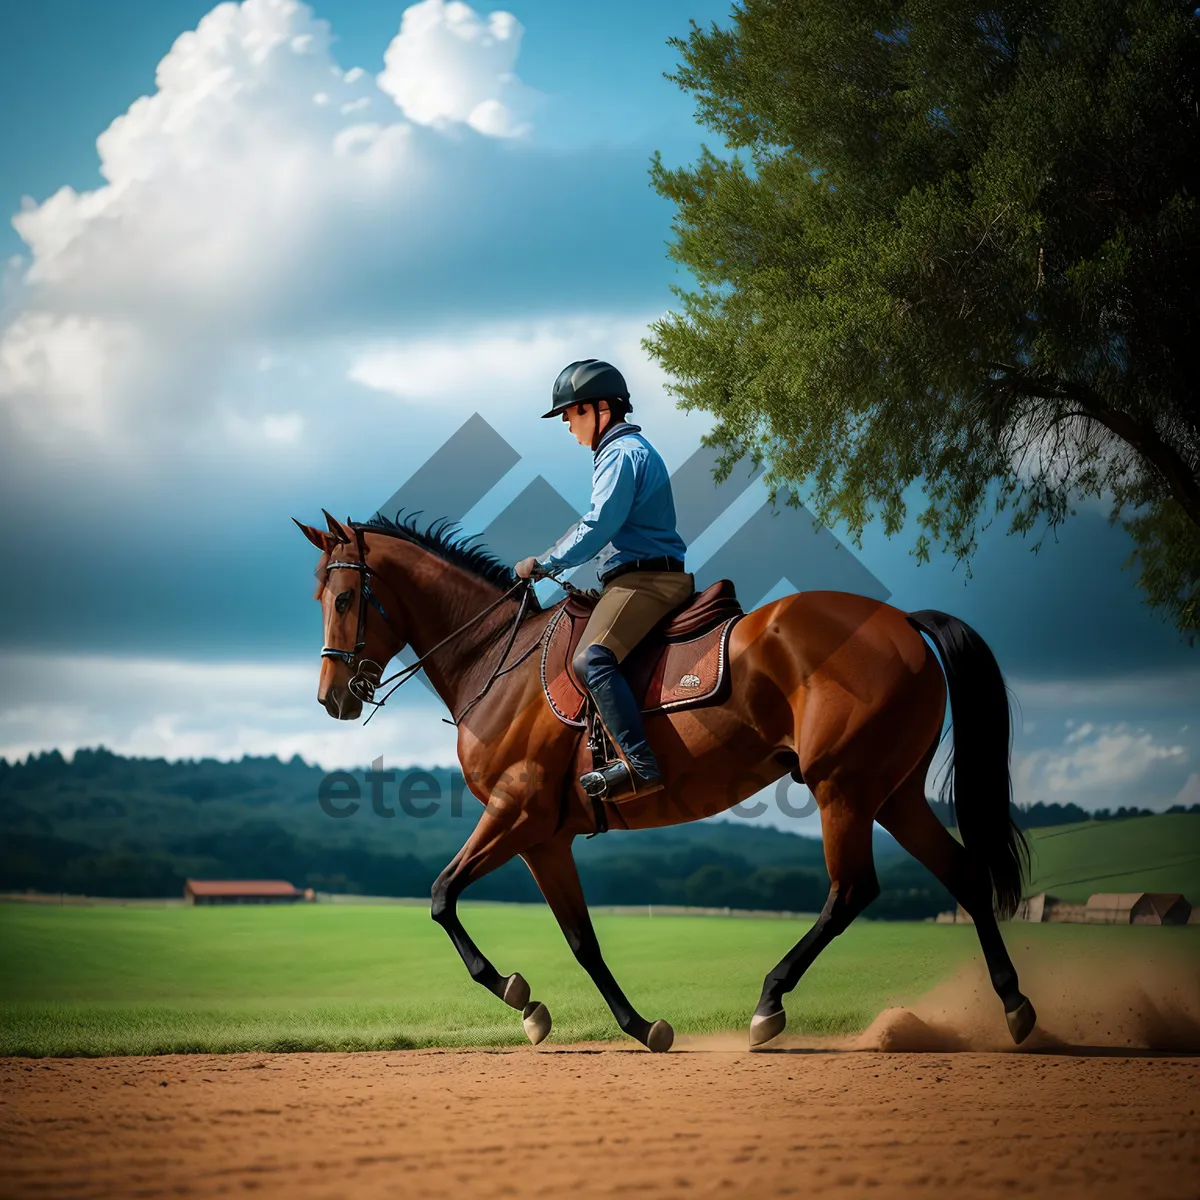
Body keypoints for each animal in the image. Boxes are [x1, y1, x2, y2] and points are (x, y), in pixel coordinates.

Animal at [295, 506, 1036, 1051]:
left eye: (346, 597)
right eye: (318, 597)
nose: (332, 697)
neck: (494, 661)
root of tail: (901, 622)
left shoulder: (514, 811)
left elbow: (442, 896)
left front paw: (517, 994)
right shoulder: (544, 839)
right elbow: (581, 939)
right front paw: (633, 1025)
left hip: (843, 789)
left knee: (851, 892)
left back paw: (768, 1004)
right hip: (894, 794)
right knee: (964, 877)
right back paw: (1015, 1006)